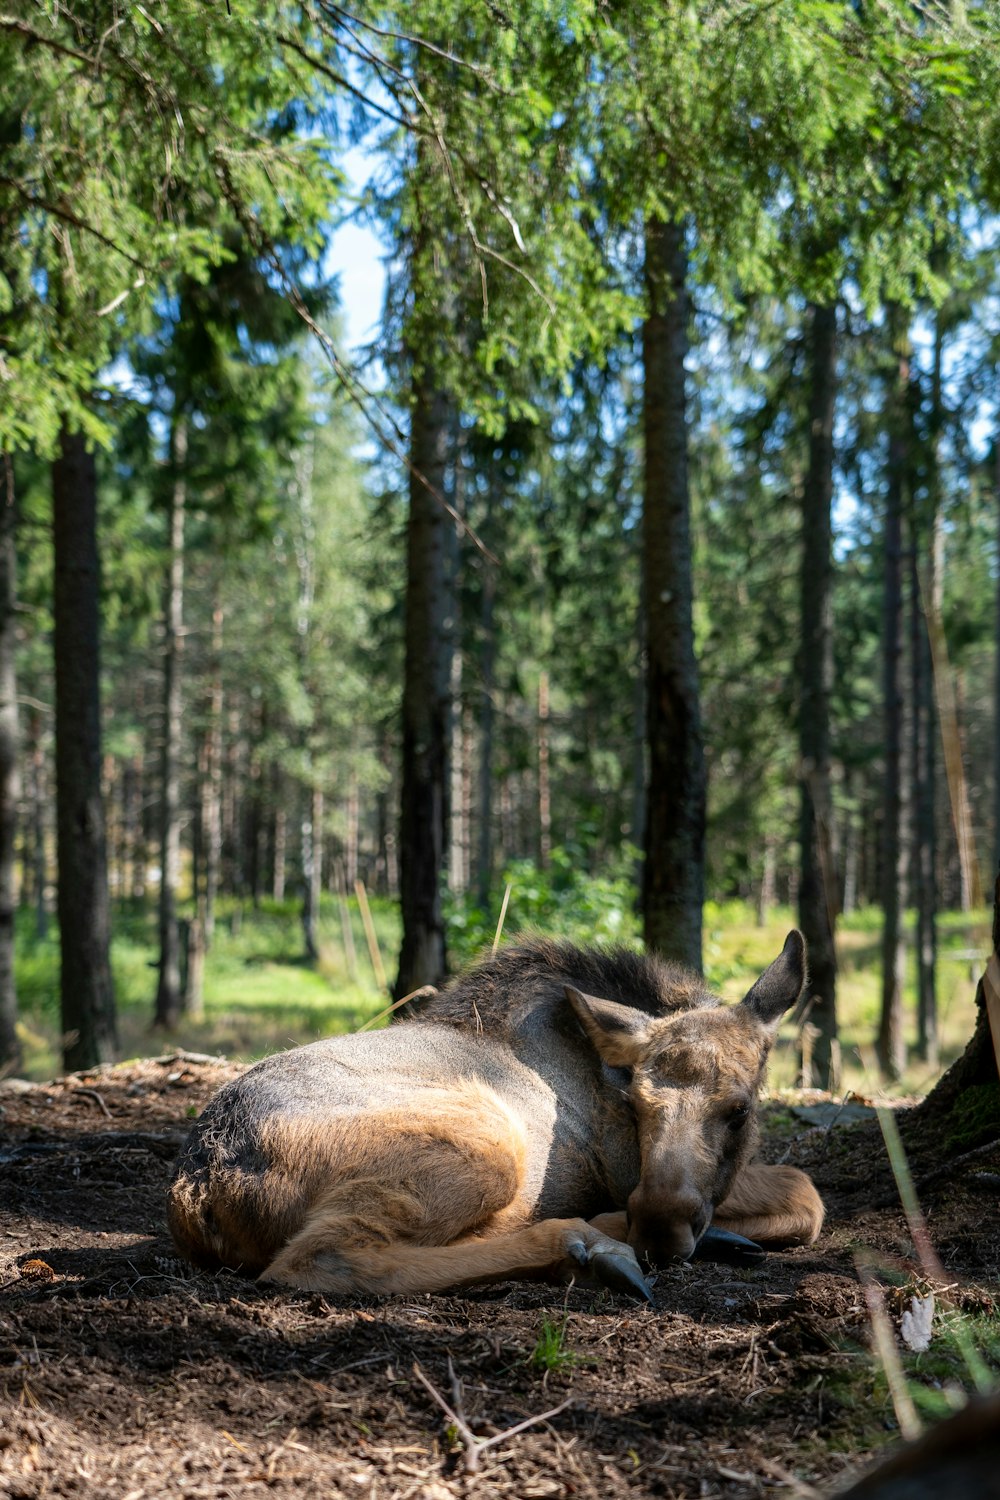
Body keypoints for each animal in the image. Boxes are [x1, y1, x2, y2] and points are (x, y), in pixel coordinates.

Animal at [167, 924, 827, 1302]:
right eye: (637, 1105)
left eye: (738, 1109)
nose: (660, 1226)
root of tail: (198, 1191)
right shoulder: (625, 1172)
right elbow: (807, 1193)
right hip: (487, 1139)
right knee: (323, 1258)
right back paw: (589, 1245)